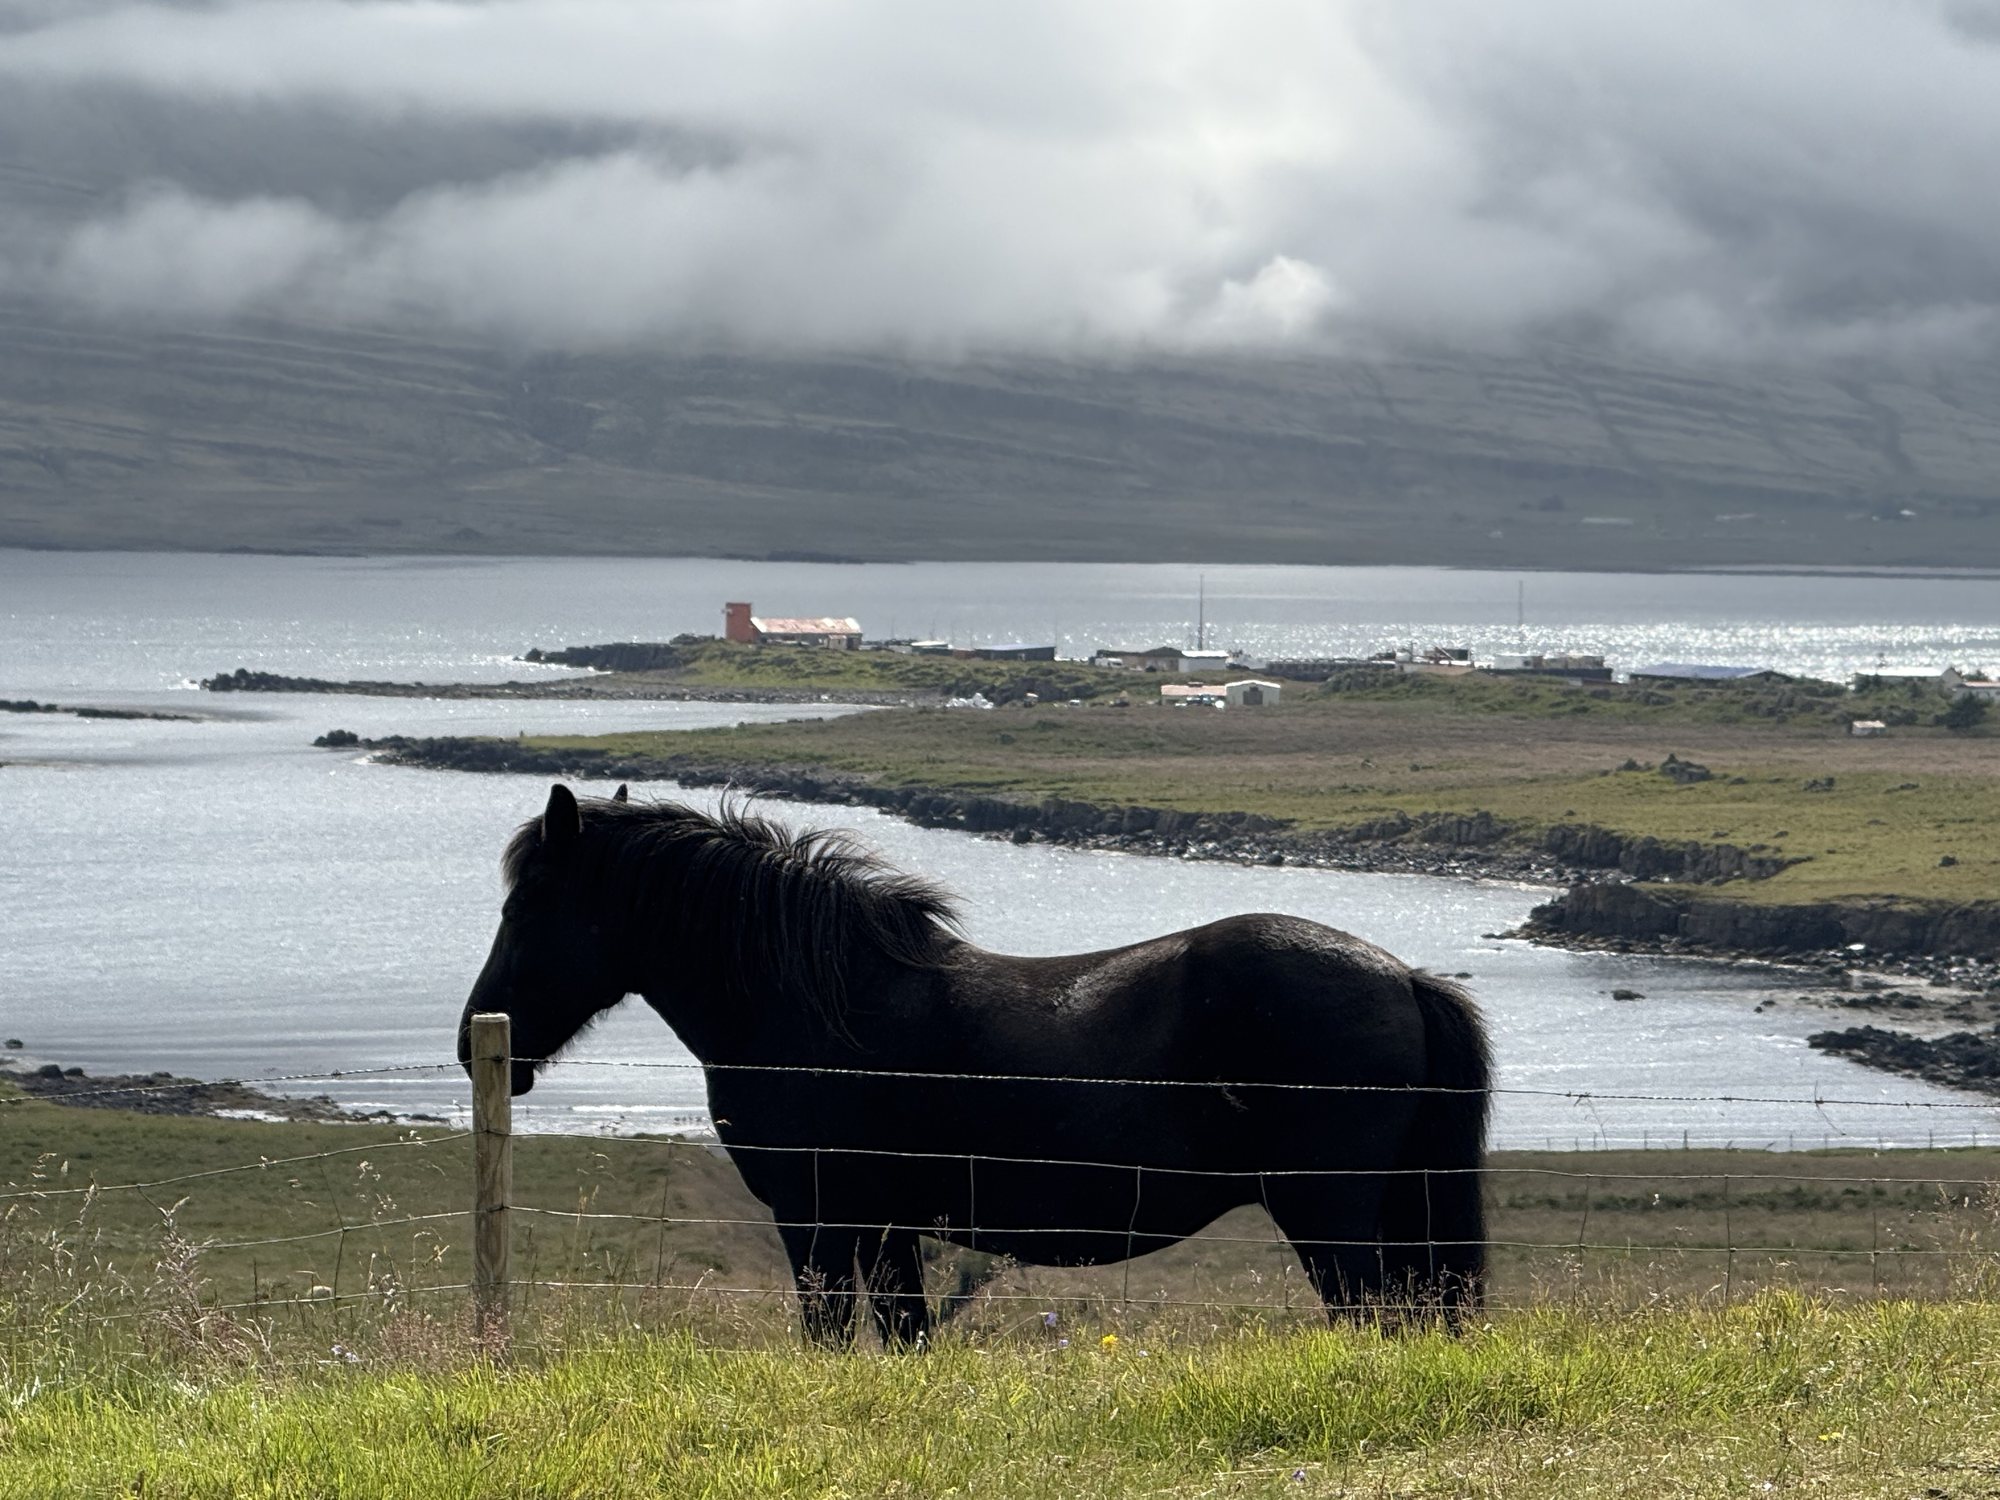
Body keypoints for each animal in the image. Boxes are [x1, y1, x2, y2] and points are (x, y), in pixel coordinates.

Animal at [458, 784, 1491, 1346]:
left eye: (525, 906)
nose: (473, 1039)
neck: (819, 1008)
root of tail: (1403, 976)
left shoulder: (817, 1221)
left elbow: (831, 1337)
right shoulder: (886, 1227)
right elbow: (905, 1337)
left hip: (1329, 1216)